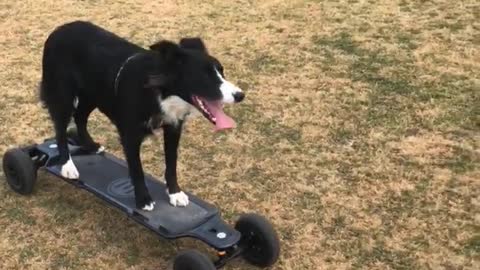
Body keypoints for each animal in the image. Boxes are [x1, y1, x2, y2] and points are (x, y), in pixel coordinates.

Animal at [39, 21, 244, 211]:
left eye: (222, 71)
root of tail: (59, 29)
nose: (240, 95)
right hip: (63, 94)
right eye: (205, 76)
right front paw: (143, 200)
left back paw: (90, 145)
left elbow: (171, 164)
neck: (159, 91)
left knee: (80, 116)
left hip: (93, 94)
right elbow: (137, 169)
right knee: (60, 129)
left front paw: (175, 193)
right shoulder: (130, 135)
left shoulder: (173, 128)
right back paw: (67, 165)